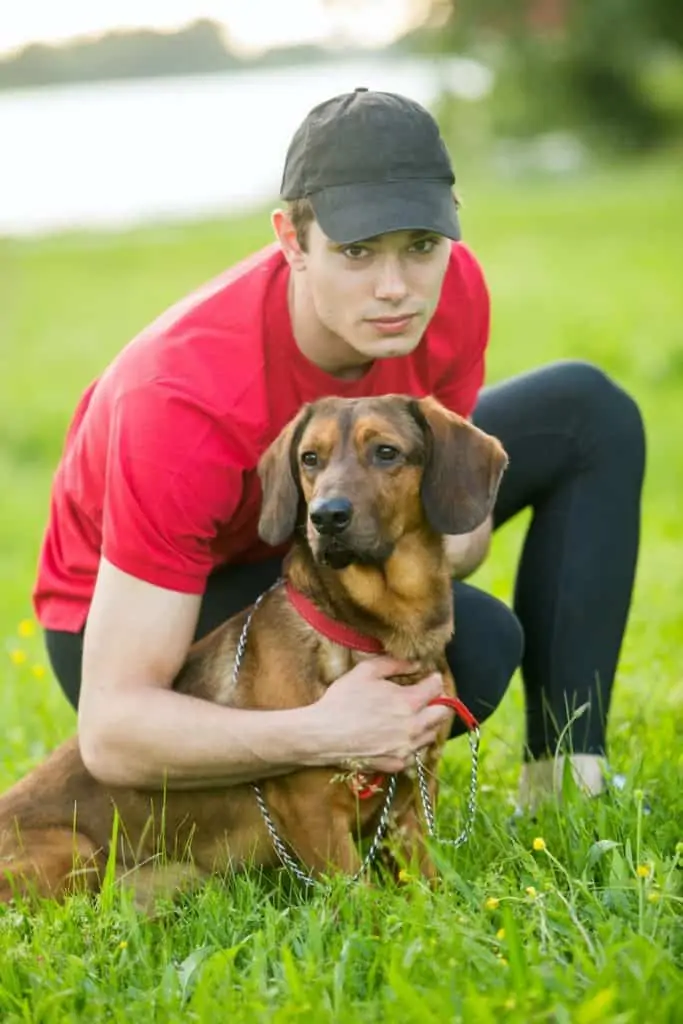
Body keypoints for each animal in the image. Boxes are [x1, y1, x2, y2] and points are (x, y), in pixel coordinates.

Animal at [0, 391, 507, 905]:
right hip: (74, 850)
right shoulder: (313, 808)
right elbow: (359, 900)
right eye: (310, 458)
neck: (372, 634)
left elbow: (430, 886)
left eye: (386, 452)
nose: (326, 516)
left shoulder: (412, 800)